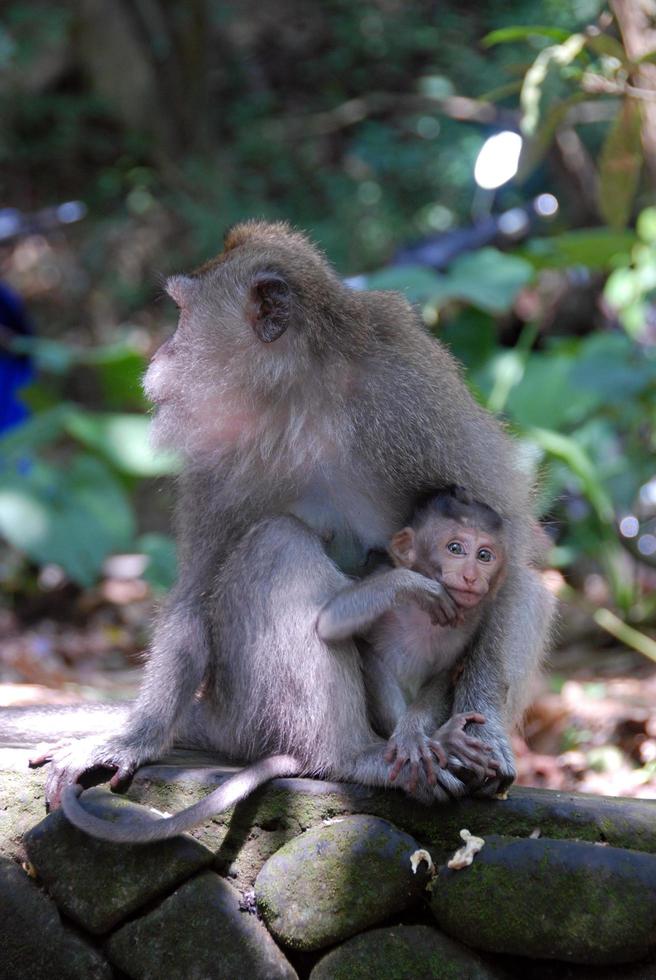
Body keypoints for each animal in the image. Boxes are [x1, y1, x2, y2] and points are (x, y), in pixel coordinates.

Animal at [316, 486, 508, 800]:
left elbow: (445, 674)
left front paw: (415, 732)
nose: (471, 576)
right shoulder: (380, 579)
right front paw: (414, 584)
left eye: (484, 555)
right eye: (455, 549)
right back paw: (442, 741)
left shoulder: (472, 621)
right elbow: (330, 621)